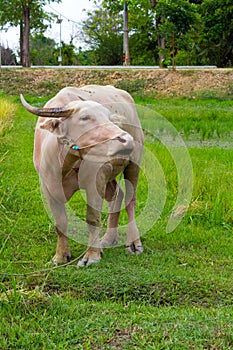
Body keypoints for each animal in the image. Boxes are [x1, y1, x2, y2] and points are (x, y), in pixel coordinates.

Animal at [20, 85, 144, 266]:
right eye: (85, 117)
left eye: (109, 118)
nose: (127, 140)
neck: (66, 163)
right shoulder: (47, 187)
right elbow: (60, 222)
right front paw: (60, 256)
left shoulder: (95, 182)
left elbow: (92, 219)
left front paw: (92, 255)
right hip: (110, 173)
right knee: (117, 196)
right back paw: (108, 239)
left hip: (133, 165)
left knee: (130, 200)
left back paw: (134, 243)